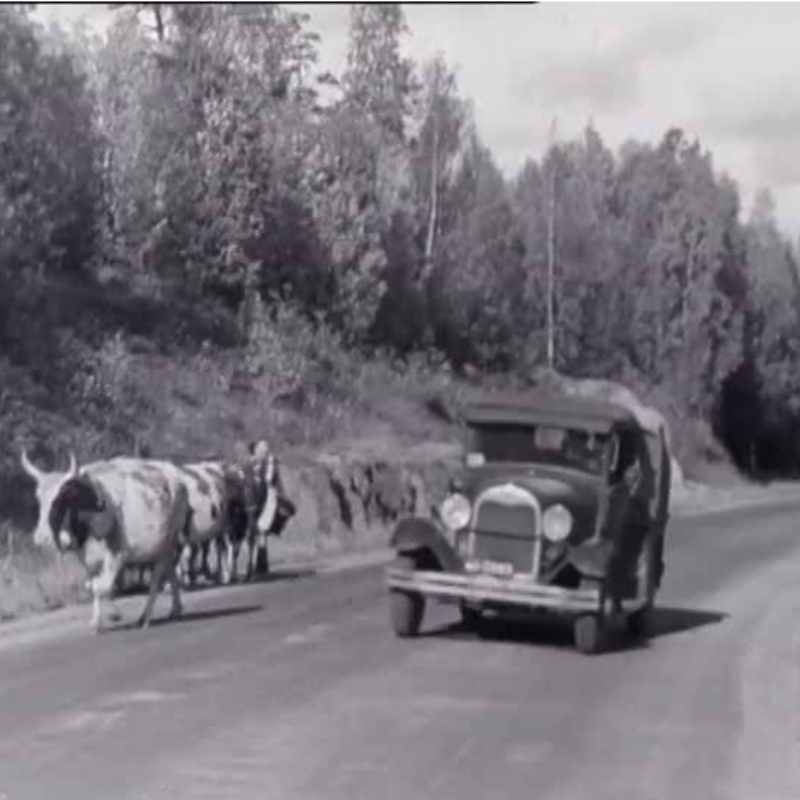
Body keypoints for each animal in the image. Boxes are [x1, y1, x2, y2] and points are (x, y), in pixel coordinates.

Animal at [20, 450, 189, 632]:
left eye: (60, 499)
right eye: (39, 498)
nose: (41, 538)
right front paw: (99, 619)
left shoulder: (117, 554)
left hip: (166, 543)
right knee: (170, 570)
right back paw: (175, 609)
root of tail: (176, 477)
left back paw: (146, 617)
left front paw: (112, 615)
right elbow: (93, 586)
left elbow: (103, 586)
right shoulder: (87, 560)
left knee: (157, 578)